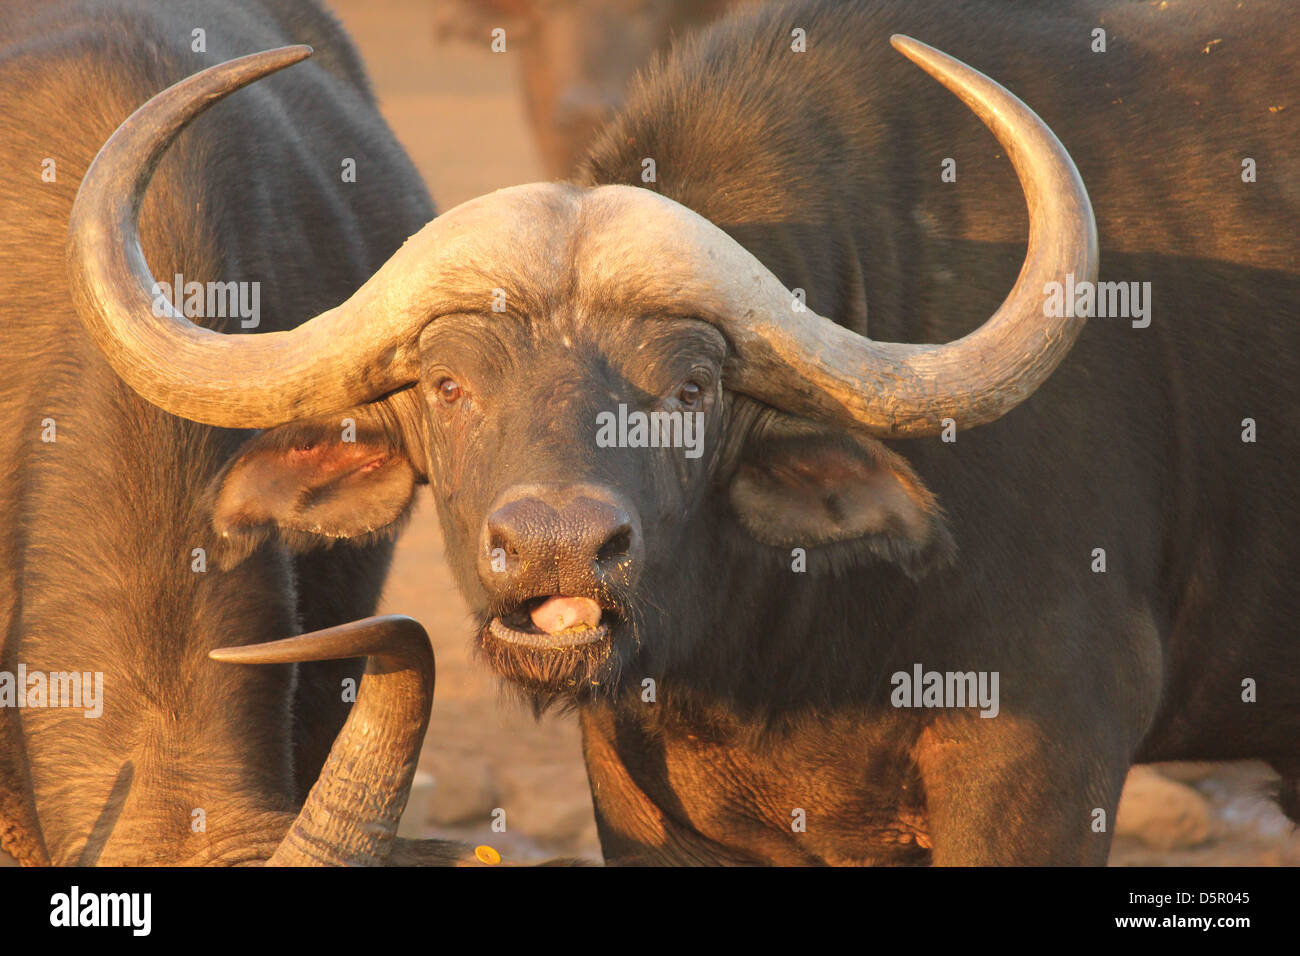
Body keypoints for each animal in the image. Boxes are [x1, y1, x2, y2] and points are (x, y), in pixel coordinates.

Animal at [73, 0, 1300, 868]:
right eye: (448, 383)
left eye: (693, 386)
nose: (559, 548)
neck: (786, 644)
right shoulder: (640, 792)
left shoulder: (1043, 770)